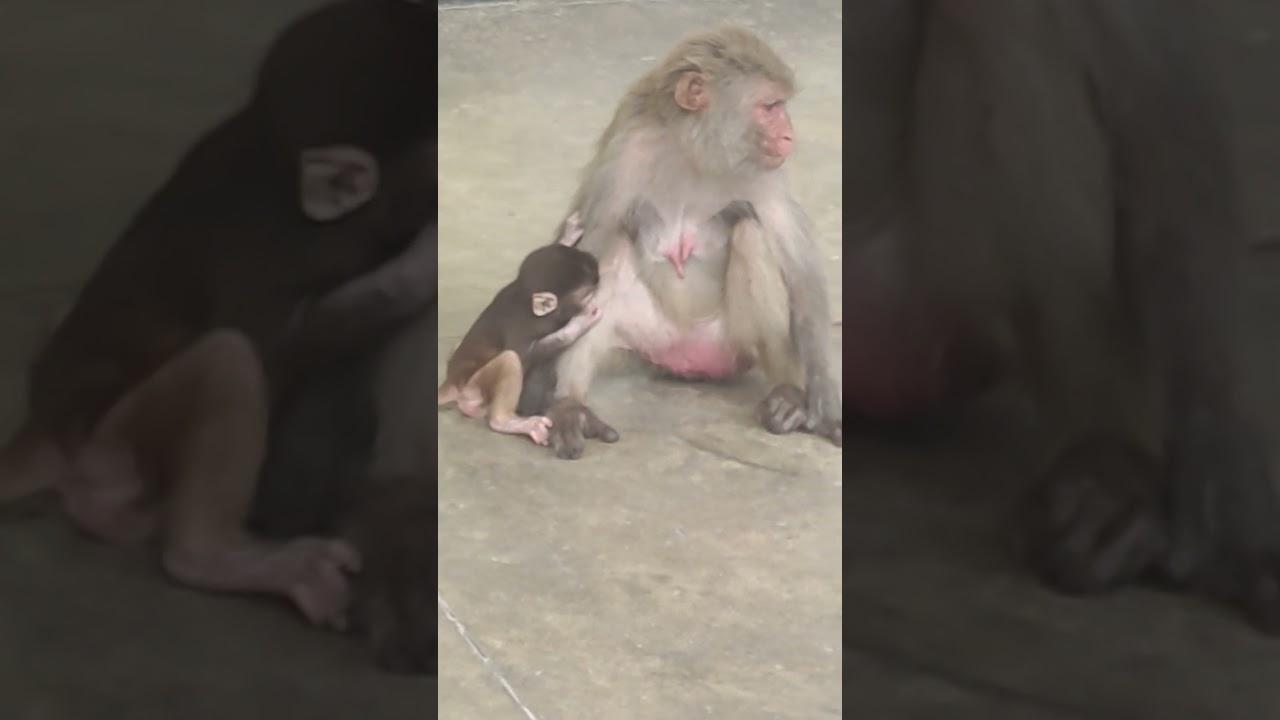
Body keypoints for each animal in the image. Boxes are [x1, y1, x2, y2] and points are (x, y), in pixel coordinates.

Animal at [0, 0, 433, 637]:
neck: (266, 157)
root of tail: (42, 429)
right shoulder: (274, 246)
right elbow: (274, 344)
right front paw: (424, 264)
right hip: (110, 451)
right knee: (227, 355)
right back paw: (210, 555)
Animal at [438, 235, 602, 445]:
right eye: (588, 295)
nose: (594, 299)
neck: (525, 299)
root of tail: (451, 380)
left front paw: (568, 237)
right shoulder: (523, 327)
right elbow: (523, 355)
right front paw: (578, 325)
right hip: (472, 388)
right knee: (510, 359)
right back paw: (505, 422)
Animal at [523, 26, 841, 460]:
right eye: (770, 106)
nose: (789, 135)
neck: (695, 151)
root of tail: (689, 359)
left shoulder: (766, 172)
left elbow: (801, 275)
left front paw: (825, 404)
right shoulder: (625, 152)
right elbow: (587, 244)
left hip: (729, 343)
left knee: (750, 235)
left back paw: (787, 392)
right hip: (652, 339)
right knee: (611, 250)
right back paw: (571, 404)